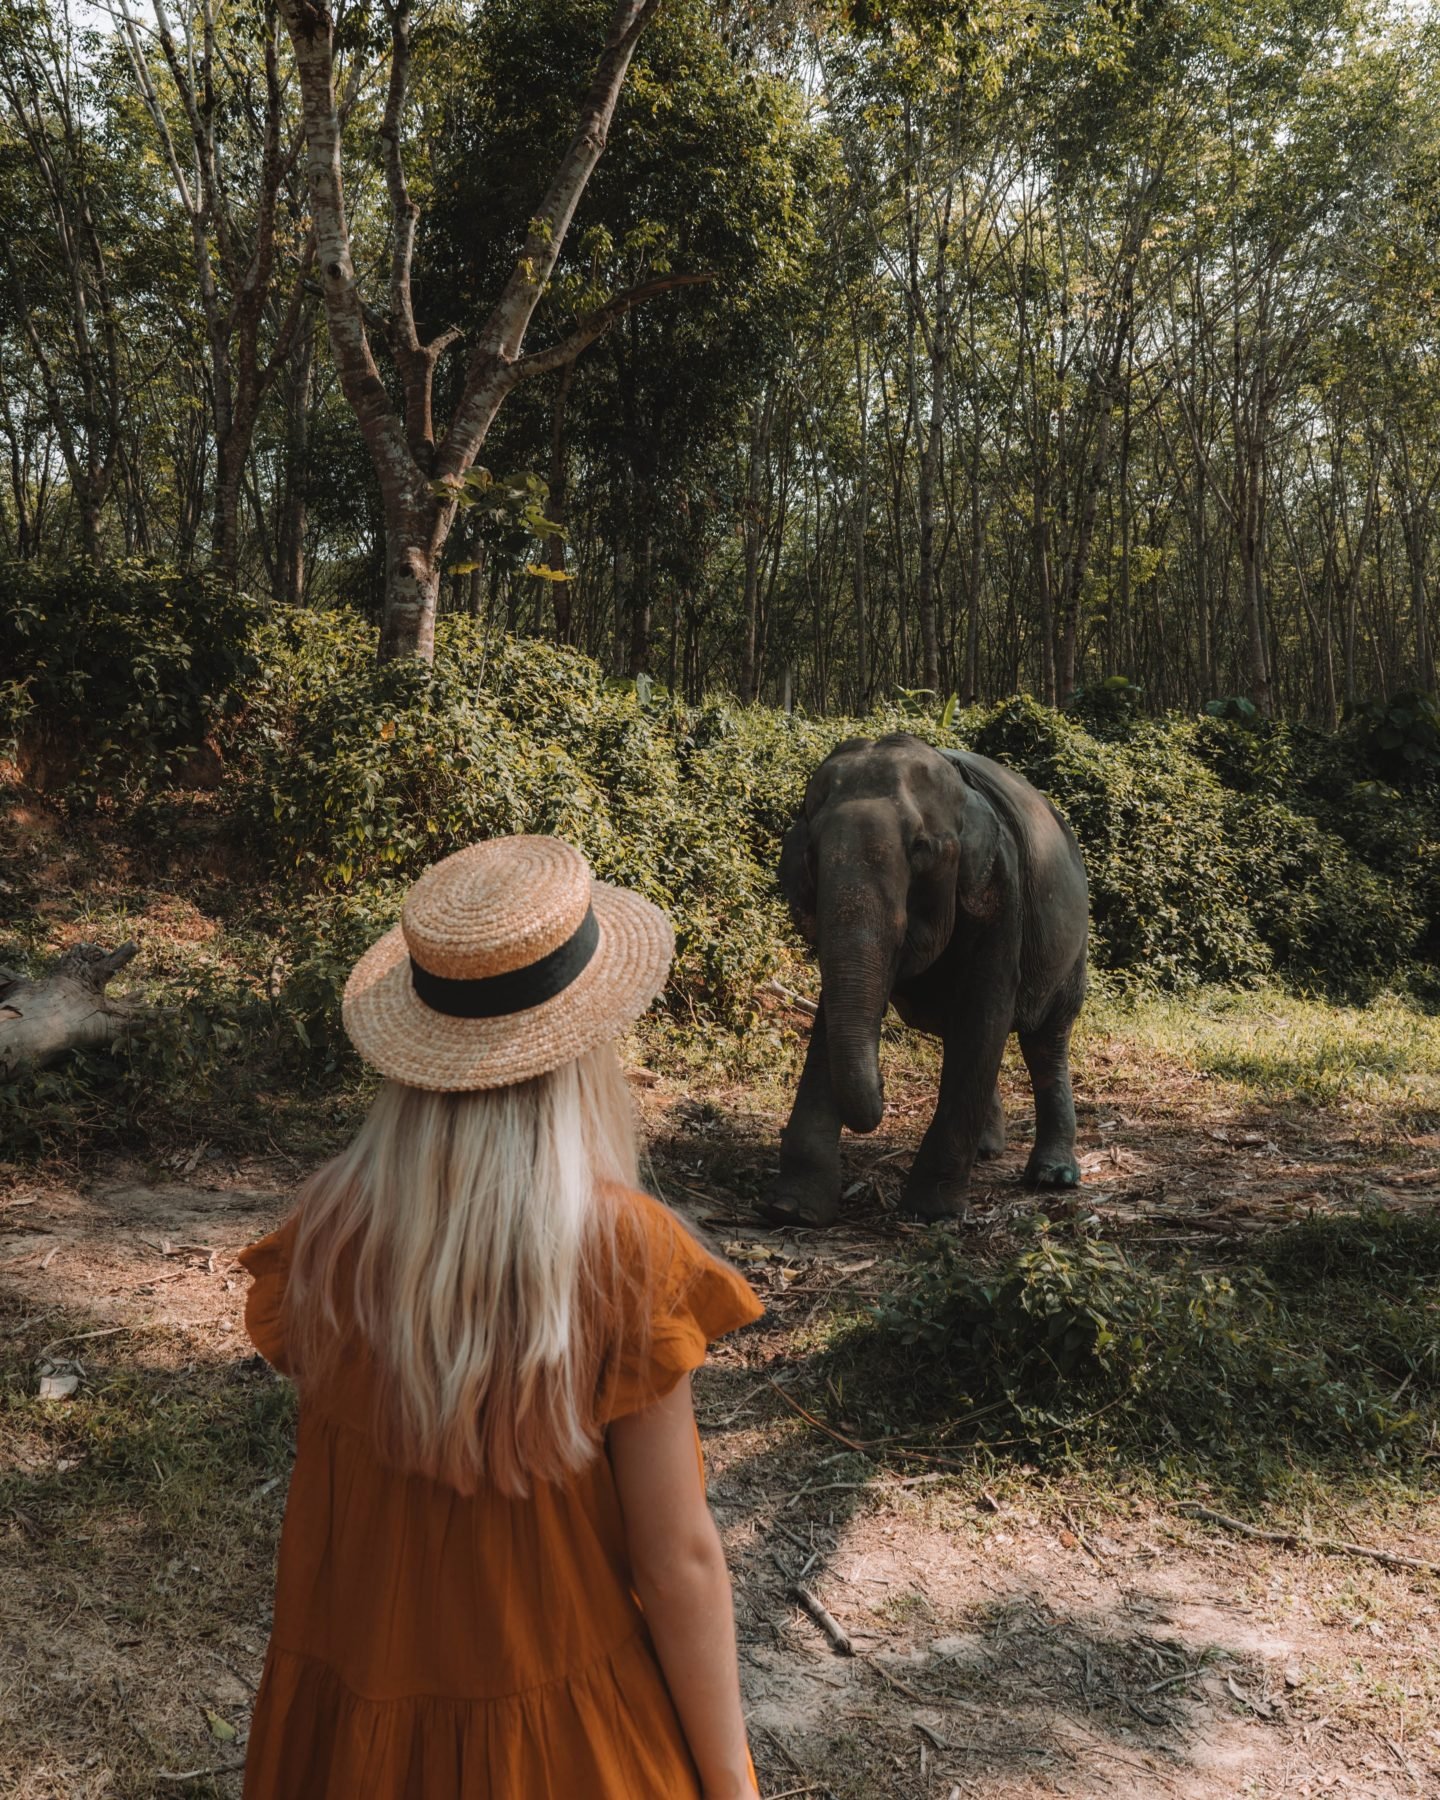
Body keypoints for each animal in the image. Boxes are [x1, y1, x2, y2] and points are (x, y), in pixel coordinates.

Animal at [770, 730, 1087, 1224]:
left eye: (920, 848)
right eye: (811, 852)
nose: (883, 1088)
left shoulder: (1002, 893)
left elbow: (985, 1013)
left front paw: (931, 1212)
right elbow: (833, 1015)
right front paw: (794, 1209)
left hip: (1071, 948)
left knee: (1045, 1040)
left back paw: (1053, 1176)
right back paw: (986, 1151)